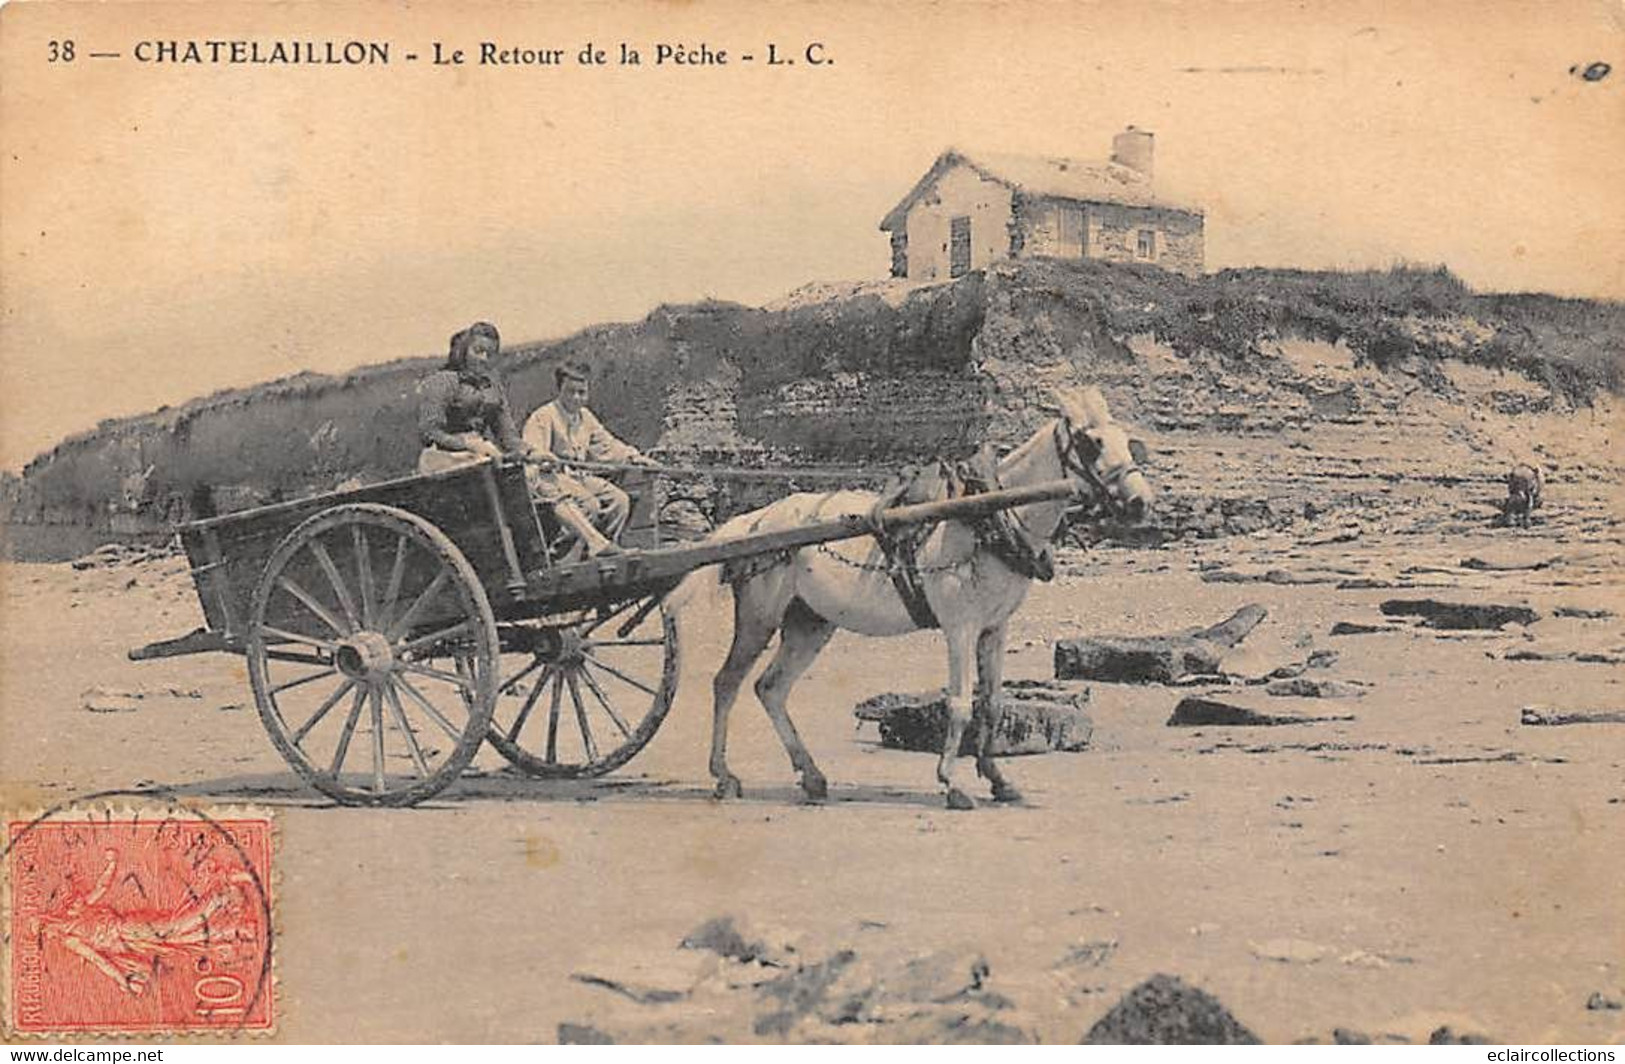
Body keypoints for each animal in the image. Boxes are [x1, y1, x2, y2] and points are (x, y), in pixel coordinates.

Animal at [692, 386, 1150, 812]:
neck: (988, 516)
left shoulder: (995, 627)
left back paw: (812, 776)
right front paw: (952, 783)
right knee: (726, 683)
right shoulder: (960, 627)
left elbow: (993, 704)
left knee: (770, 688)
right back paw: (724, 775)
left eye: (1127, 440)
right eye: (1092, 442)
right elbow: (960, 704)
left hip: (810, 623)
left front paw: (998, 779)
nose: (1141, 502)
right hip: (760, 616)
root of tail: (756, 519)